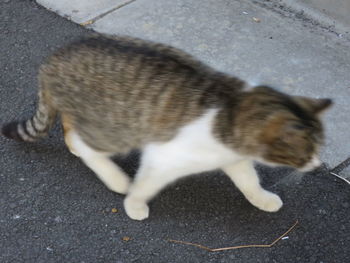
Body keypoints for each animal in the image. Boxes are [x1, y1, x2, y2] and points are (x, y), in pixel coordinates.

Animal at [2, 34, 330, 221]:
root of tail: (54, 58)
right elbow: (146, 184)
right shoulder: (164, 157)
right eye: (306, 152)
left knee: (71, 125)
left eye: (320, 148)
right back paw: (114, 178)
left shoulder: (234, 158)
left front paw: (261, 199)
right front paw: (134, 203)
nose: (318, 167)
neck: (232, 112)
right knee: (89, 146)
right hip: (115, 128)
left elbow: (249, 181)